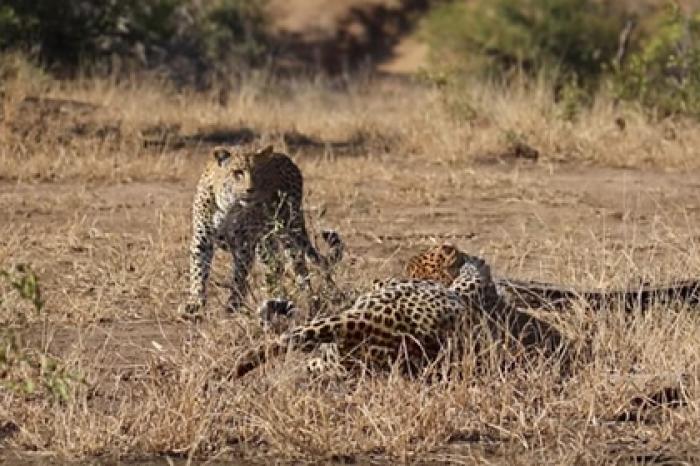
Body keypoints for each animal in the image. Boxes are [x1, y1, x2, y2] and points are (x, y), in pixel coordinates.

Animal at [182, 144, 344, 314]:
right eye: (237, 173)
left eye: (258, 173)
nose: (250, 189)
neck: (229, 208)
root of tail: (286, 158)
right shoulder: (202, 240)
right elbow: (198, 271)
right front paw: (195, 302)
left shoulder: (244, 245)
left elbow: (239, 277)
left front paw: (233, 304)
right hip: (265, 243)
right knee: (276, 266)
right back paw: (276, 297)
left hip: (289, 229)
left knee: (301, 266)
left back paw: (315, 301)